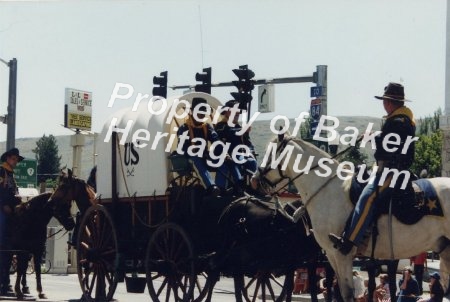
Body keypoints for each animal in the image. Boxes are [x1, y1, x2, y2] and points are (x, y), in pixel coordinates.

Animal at [251, 134, 450, 302]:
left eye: (271, 153)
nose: (254, 180)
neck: (328, 191)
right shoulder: (331, 256)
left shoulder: (342, 254)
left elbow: (347, 293)